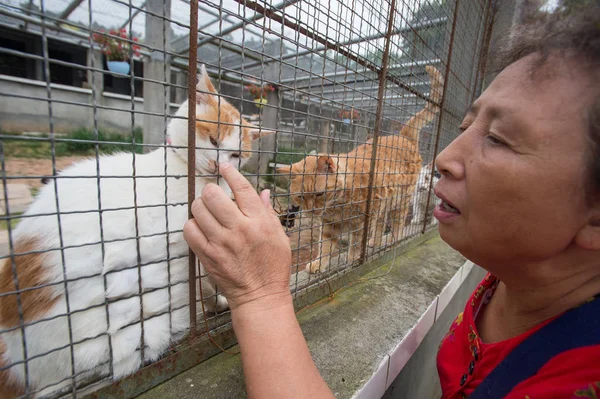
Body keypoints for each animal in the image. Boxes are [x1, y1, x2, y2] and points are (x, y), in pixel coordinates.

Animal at [0, 65, 270, 396]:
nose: (219, 168)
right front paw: (216, 304)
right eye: (213, 139)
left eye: (236, 156)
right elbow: (204, 284)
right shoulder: (188, 247)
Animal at [278, 66, 442, 276]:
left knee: (397, 223)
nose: (311, 210)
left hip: (400, 201)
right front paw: (318, 264)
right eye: (300, 196)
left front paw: (352, 259)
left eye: (319, 194)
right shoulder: (329, 226)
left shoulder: (363, 221)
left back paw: (391, 240)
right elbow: (325, 246)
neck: (338, 204)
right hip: (386, 203)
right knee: (380, 224)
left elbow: (356, 243)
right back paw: (375, 241)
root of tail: (403, 136)